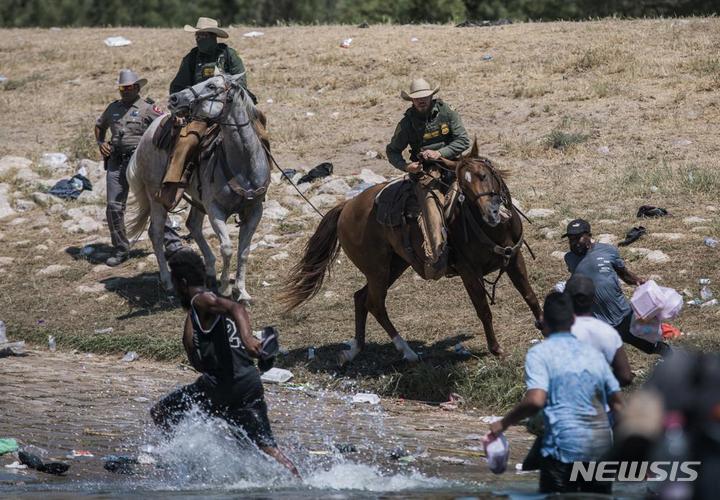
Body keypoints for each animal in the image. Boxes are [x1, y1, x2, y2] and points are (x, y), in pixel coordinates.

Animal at [125, 73, 268, 300]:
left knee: (192, 225)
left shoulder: (255, 210)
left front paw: (242, 291)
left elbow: (244, 251)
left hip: (197, 199)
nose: (174, 99)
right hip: (156, 197)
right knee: (156, 233)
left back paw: (209, 271)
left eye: (211, 86)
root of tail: (147, 135)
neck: (243, 165)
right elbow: (227, 248)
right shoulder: (215, 209)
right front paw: (225, 289)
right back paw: (168, 283)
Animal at [282, 143, 540, 366]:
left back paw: (354, 350)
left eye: (484, 175)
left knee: (360, 297)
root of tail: (346, 207)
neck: (492, 229)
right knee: (375, 303)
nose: (491, 213)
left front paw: (542, 325)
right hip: (377, 270)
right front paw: (496, 349)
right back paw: (407, 351)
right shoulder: (469, 272)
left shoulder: (514, 259)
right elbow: (483, 310)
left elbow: (529, 295)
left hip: (394, 266)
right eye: (463, 187)